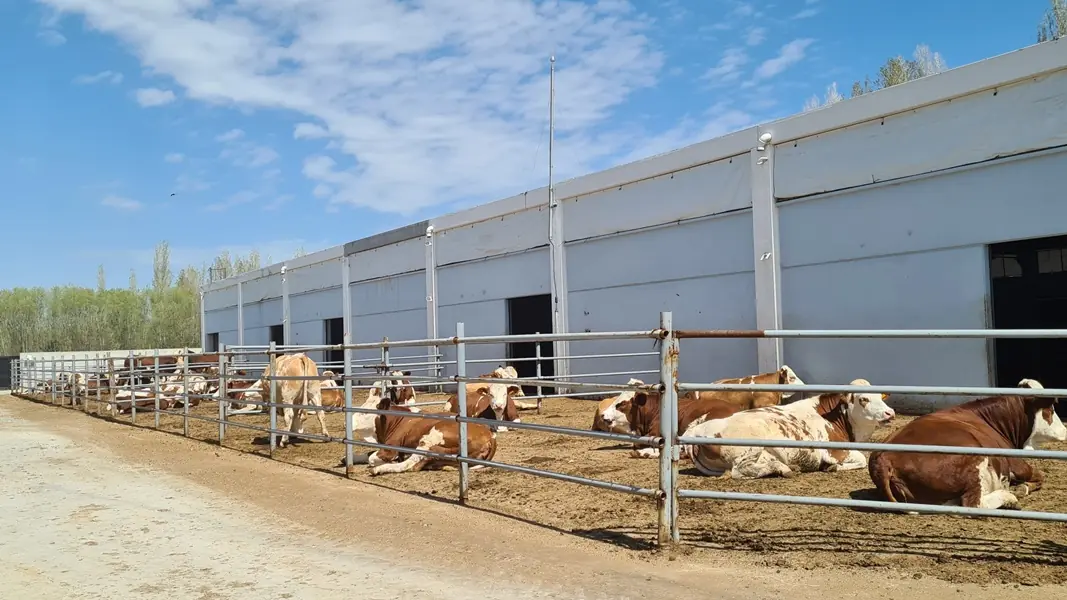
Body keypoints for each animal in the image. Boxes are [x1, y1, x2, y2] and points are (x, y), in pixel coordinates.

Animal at [367, 392, 499, 476]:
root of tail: (490, 435)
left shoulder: (391, 447)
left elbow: (371, 457)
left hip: (429, 439)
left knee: (410, 464)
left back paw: (378, 469)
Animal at [678, 377, 896, 476]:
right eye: (863, 399)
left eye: (881, 396)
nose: (890, 413)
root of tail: (697, 430)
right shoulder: (834, 451)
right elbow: (860, 458)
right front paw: (832, 467)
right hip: (749, 448)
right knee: (740, 471)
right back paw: (783, 468)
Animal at [866, 375, 1067, 506]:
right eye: (1050, 409)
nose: (1065, 430)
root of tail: (884, 457)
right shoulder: (1016, 462)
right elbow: (1040, 475)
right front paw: (1022, 488)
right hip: (974, 461)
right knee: (973, 503)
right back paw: (1009, 497)